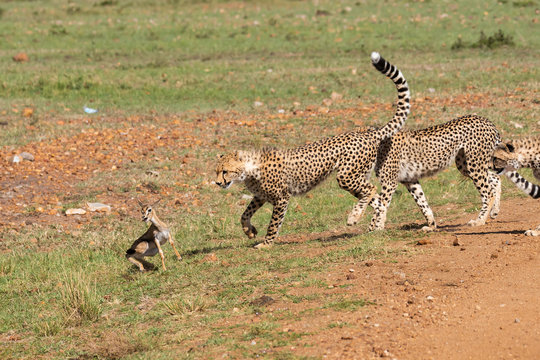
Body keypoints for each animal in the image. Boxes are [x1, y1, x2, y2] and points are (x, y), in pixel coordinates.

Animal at [215, 52, 410, 248]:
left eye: (225, 171)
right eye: (216, 171)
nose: (217, 183)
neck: (248, 169)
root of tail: (367, 133)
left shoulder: (282, 197)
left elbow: (273, 224)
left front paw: (266, 243)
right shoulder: (260, 196)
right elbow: (244, 214)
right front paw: (249, 231)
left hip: (347, 176)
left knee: (371, 190)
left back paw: (354, 217)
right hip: (357, 178)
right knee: (379, 201)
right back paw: (376, 226)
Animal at [370, 114, 504, 231]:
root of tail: (486, 120)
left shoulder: (389, 183)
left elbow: (381, 205)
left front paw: (376, 229)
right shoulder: (410, 180)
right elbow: (422, 203)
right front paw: (431, 225)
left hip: (474, 165)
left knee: (488, 193)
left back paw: (479, 221)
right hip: (465, 165)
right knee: (495, 178)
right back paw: (495, 211)